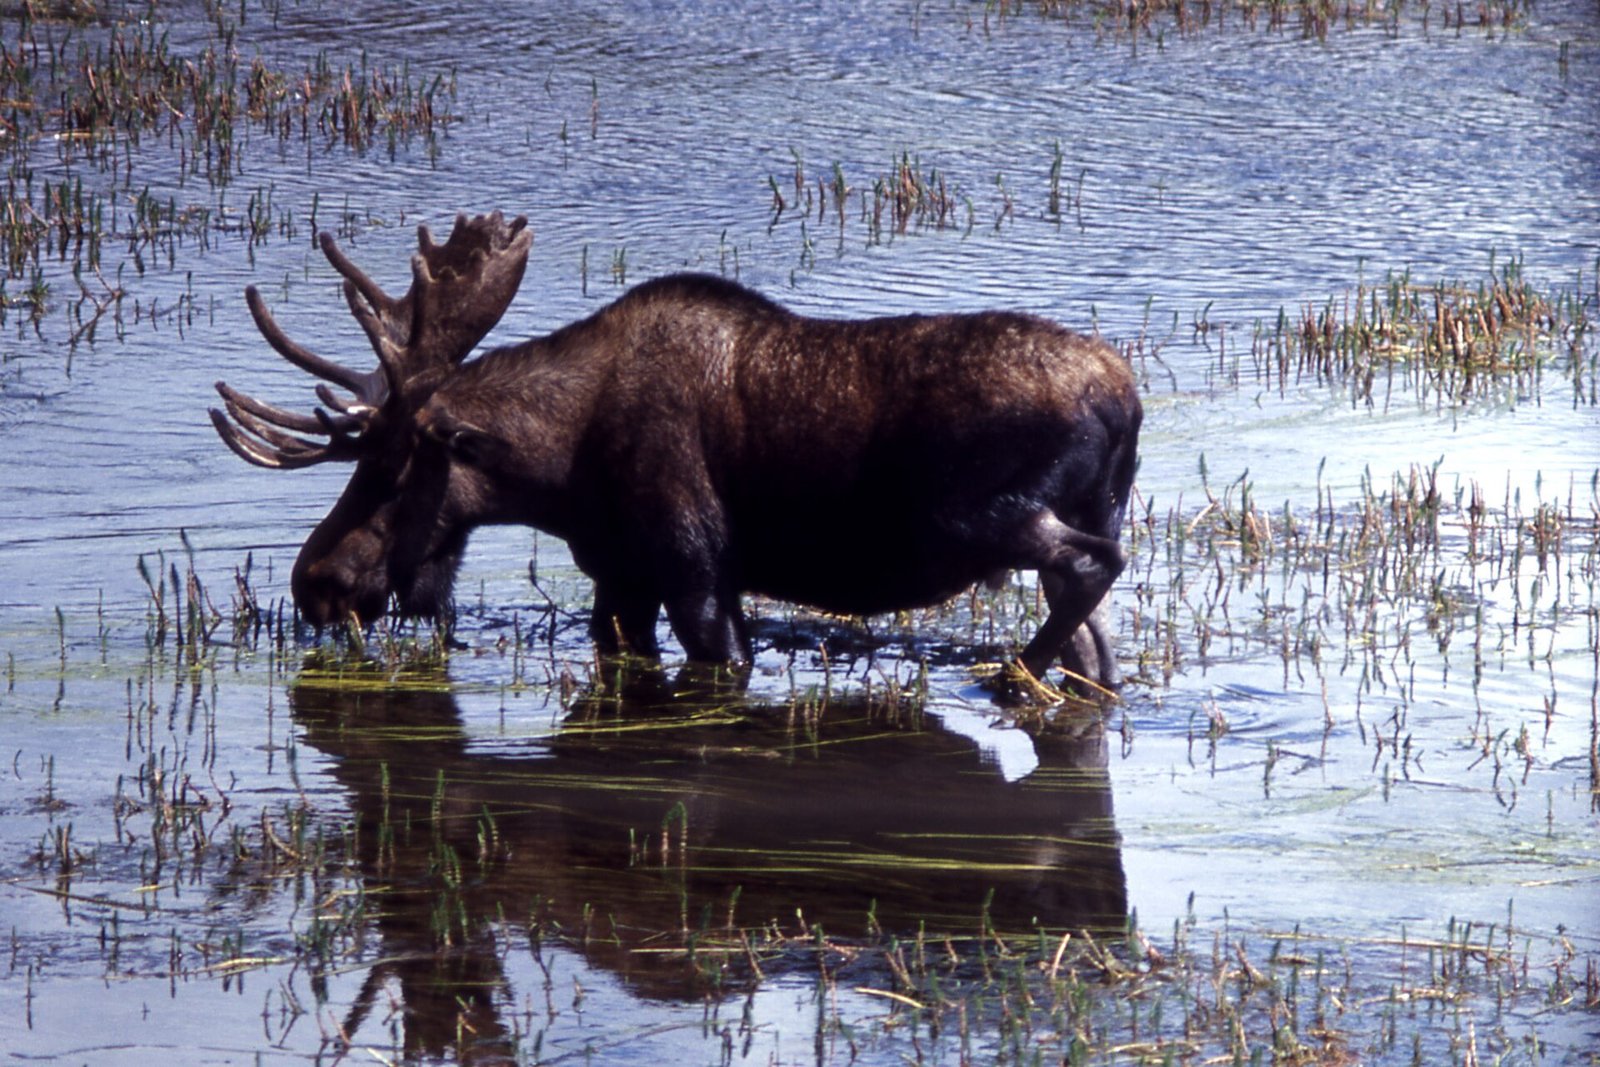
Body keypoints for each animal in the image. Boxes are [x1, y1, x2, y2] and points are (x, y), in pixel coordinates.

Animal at [210, 212, 1142, 688]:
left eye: (393, 465)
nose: (315, 581)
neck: (559, 470)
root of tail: (1125, 400)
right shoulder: (620, 576)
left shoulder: (695, 566)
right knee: (1096, 634)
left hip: (981, 513)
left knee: (1093, 565)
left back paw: (1010, 673)